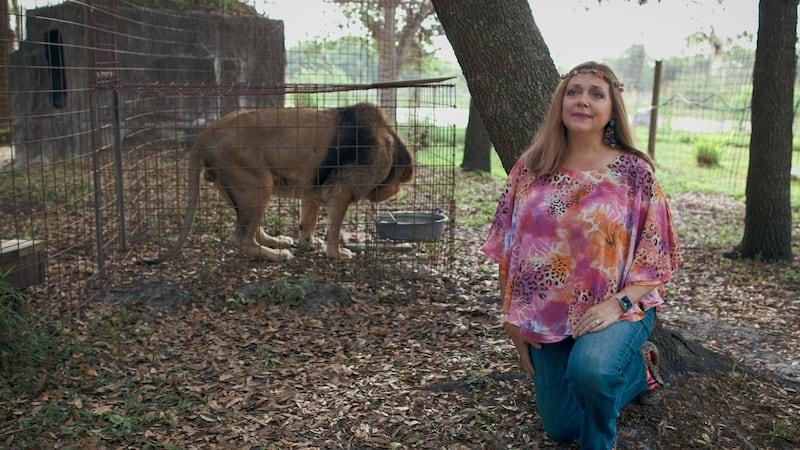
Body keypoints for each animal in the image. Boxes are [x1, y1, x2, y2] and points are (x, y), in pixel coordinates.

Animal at [145, 102, 416, 264]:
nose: (393, 192)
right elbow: (333, 229)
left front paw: (308, 243)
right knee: (241, 238)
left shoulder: (312, 190)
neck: (389, 145)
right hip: (258, 184)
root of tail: (208, 131)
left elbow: (308, 222)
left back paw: (277, 241)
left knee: (252, 229)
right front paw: (336, 253)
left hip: (238, 188)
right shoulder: (341, 192)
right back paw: (277, 255)